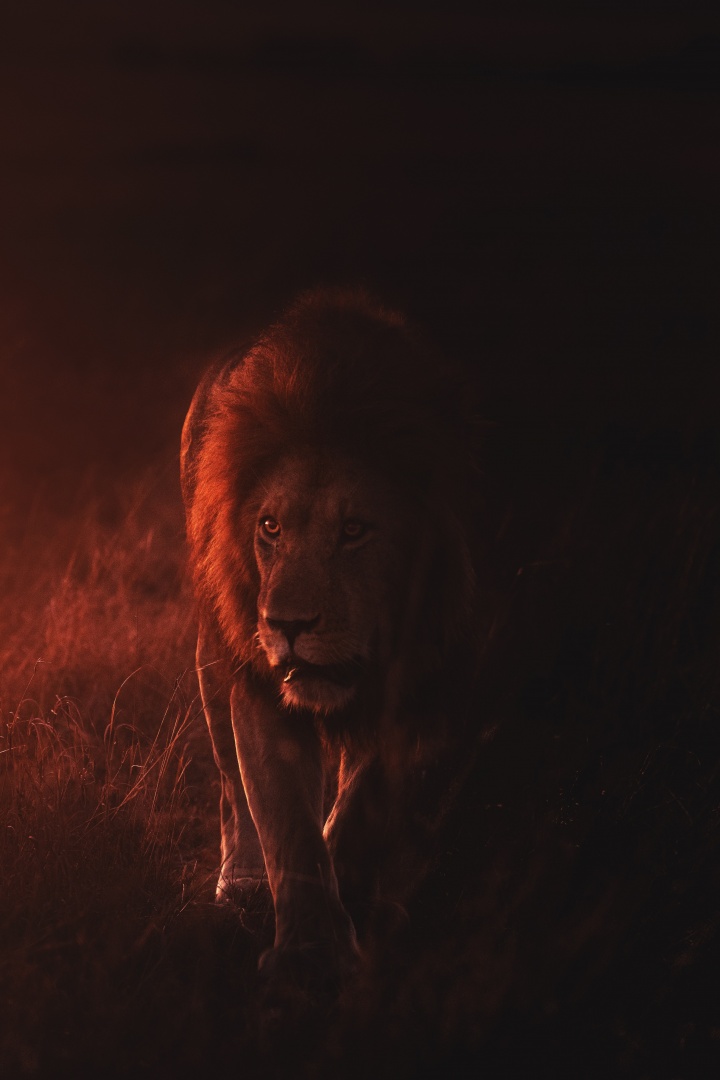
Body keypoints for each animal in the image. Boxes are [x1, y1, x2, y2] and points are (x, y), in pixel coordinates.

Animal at [183, 289, 481, 1002]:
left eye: (354, 530)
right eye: (270, 527)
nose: (286, 624)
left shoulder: (452, 680)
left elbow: (373, 801)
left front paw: (357, 896)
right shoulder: (263, 687)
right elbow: (285, 816)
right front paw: (310, 951)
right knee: (232, 786)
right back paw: (242, 884)